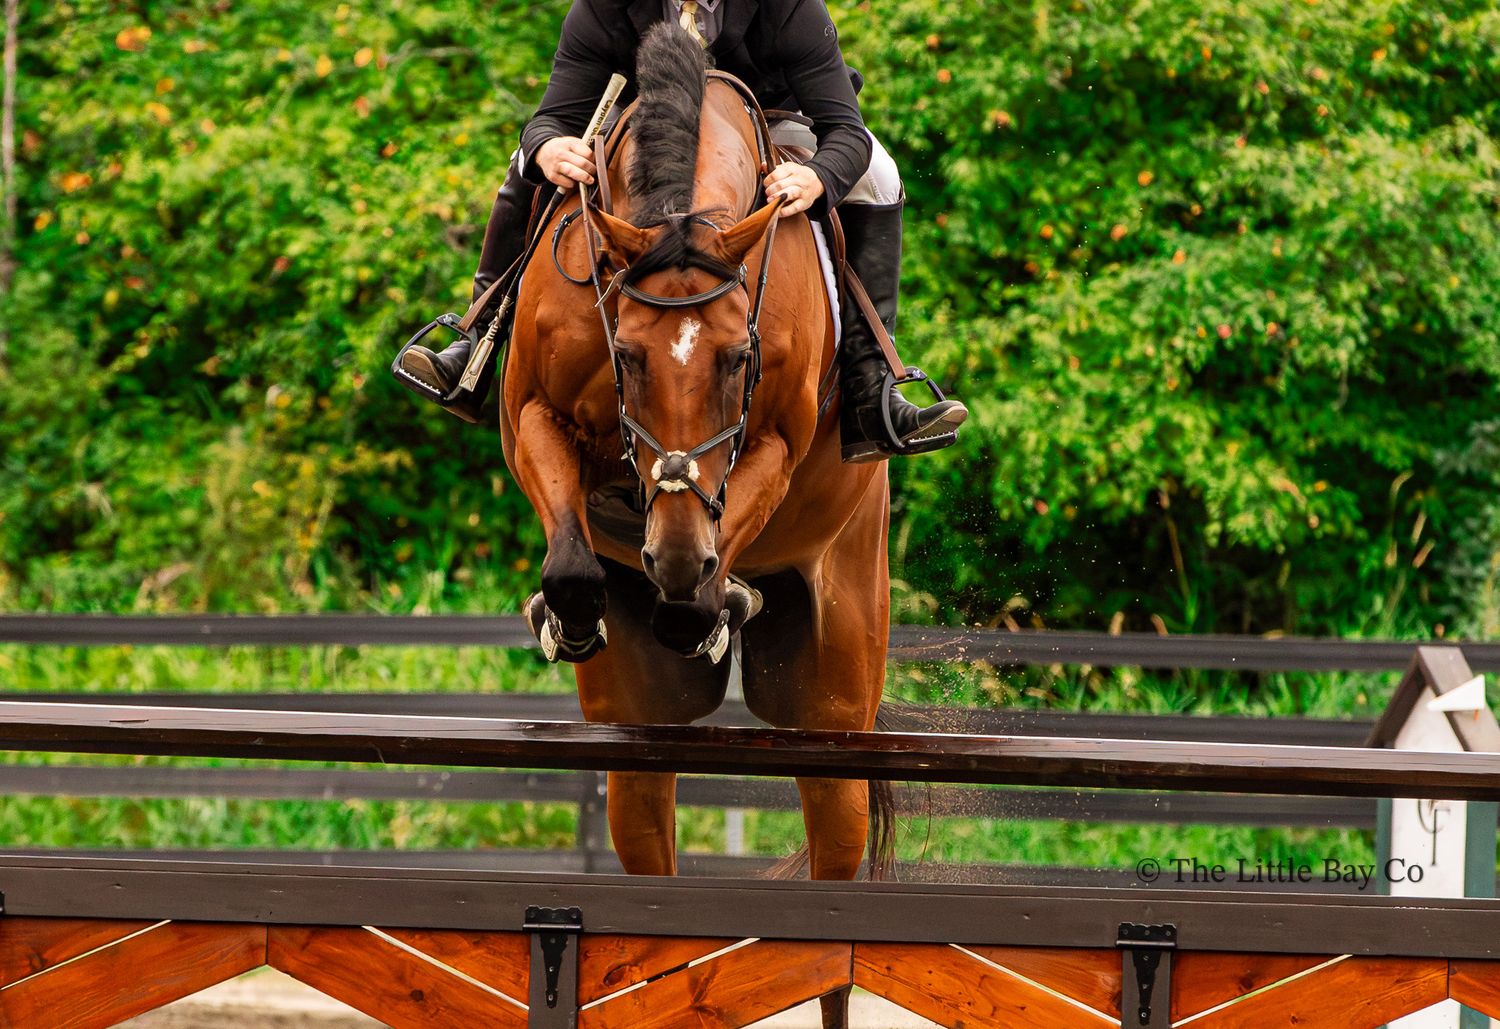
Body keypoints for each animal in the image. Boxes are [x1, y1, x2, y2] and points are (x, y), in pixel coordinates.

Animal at [500, 24, 893, 1025]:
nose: (672, 554)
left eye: (737, 359)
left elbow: (712, 560)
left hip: (835, 703)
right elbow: (572, 557)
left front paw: (713, 603)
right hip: (637, 736)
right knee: (650, 855)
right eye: (628, 355)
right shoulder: (529, 416)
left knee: (835, 922)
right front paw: (570, 614)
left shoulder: (776, 442)